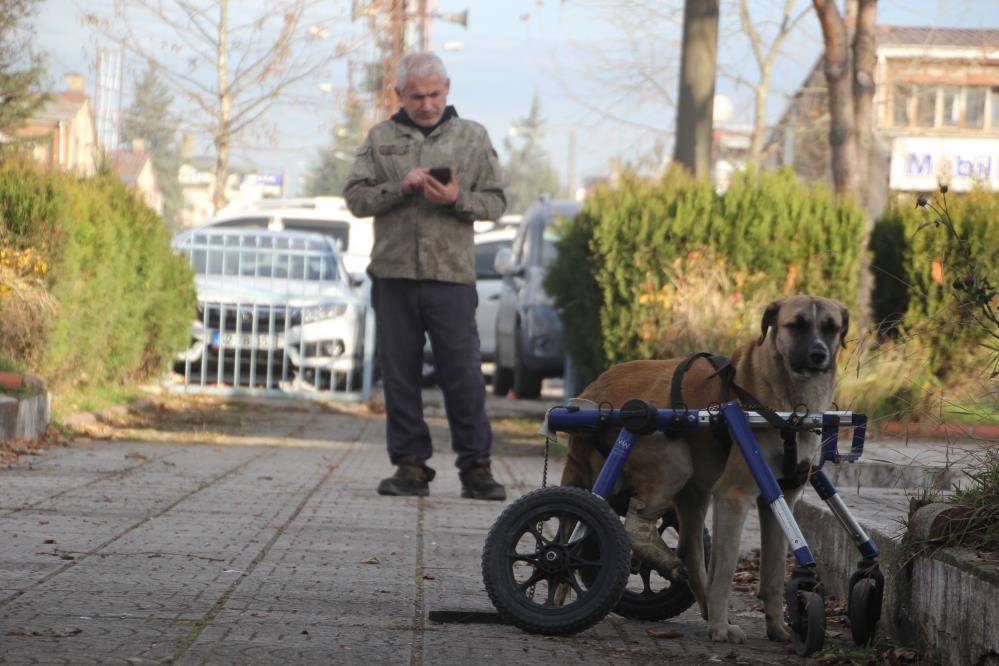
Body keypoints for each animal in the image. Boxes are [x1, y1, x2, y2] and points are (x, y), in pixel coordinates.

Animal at [560, 294, 848, 640]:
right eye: (797, 325)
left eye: (831, 328)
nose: (819, 355)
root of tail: (588, 396)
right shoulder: (732, 496)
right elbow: (724, 570)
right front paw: (721, 628)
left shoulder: (782, 498)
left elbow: (774, 572)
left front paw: (779, 628)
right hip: (672, 460)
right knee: (633, 524)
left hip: (691, 492)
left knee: (688, 551)